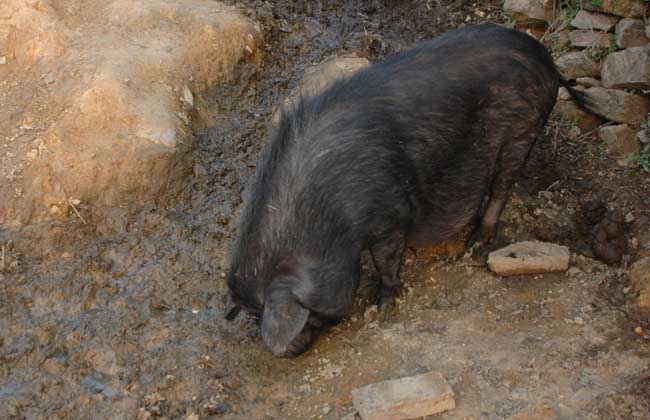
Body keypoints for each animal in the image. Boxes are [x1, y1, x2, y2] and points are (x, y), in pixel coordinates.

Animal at [225, 24, 588, 356]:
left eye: (307, 316)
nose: (287, 352)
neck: (328, 221)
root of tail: (544, 57)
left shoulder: (390, 216)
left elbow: (386, 262)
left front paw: (383, 308)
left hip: (522, 128)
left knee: (503, 185)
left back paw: (474, 245)